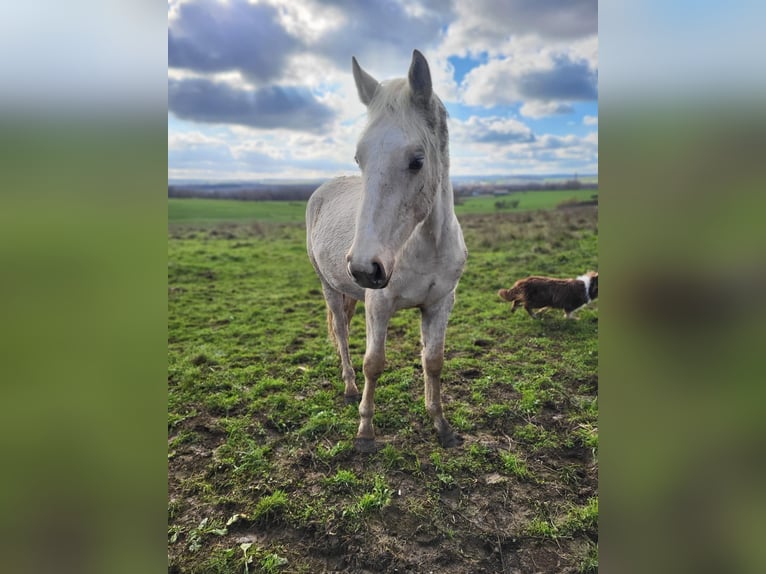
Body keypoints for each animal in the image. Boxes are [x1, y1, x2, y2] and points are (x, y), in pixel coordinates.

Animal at [306, 49, 468, 454]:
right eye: (359, 158)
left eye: (417, 160)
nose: (366, 269)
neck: (424, 247)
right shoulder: (377, 304)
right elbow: (374, 363)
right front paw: (365, 432)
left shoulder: (440, 303)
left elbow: (433, 361)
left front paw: (441, 424)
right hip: (329, 287)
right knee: (342, 332)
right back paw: (349, 387)